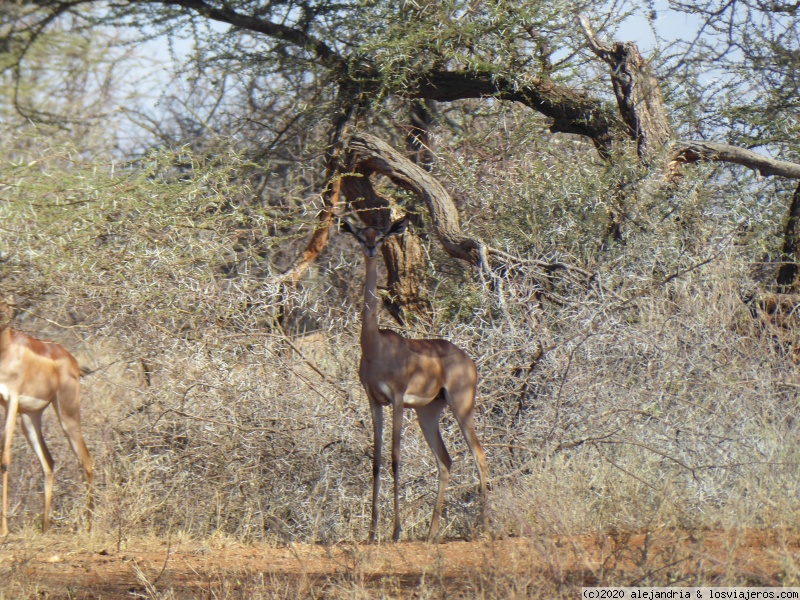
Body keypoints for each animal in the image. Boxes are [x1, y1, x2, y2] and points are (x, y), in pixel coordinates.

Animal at [0, 296, 92, 536]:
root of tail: (73, 362)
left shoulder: (11, 401)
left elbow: (5, 459)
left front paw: (4, 530)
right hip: (30, 419)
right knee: (48, 462)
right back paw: (45, 526)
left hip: (67, 415)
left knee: (86, 460)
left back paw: (89, 525)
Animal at [338, 217, 488, 544]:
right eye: (360, 235)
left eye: (382, 236)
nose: (371, 249)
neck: (376, 348)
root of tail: (469, 361)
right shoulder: (374, 401)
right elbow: (377, 461)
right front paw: (372, 532)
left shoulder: (396, 400)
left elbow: (395, 459)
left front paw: (395, 531)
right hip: (427, 413)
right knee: (445, 461)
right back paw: (431, 534)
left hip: (461, 408)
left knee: (479, 455)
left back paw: (484, 526)